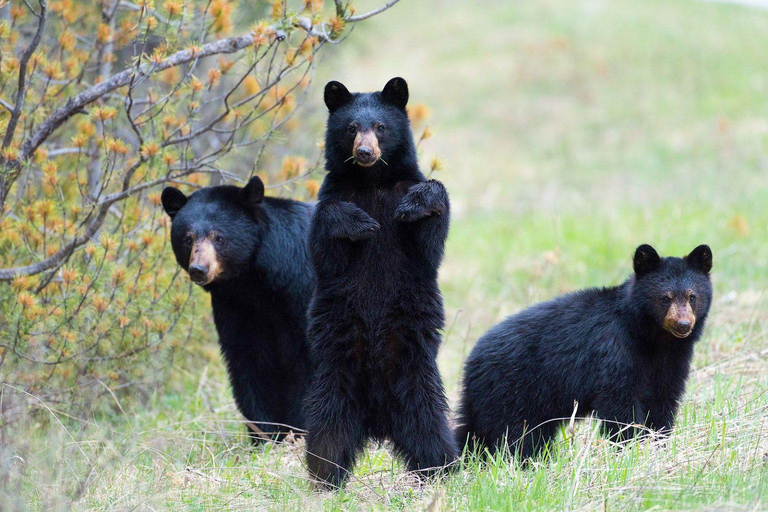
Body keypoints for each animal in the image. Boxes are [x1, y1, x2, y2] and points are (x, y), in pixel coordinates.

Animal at [162, 176, 316, 440]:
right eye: (188, 239)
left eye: (219, 237)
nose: (199, 269)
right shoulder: (236, 308)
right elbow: (250, 362)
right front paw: (265, 434)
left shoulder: (301, 293)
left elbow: (306, 361)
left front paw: (298, 431)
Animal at [304, 77, 460, 488]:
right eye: (351, 128)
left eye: (380, 127)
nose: (364, 151)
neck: (372, 183)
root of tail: (377, 422)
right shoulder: (333, 194)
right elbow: (325, 243)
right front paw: (359, 223)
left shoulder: (407, 195)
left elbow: (430, 237)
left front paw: (416, 205)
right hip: (334, 376)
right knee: (327, 432)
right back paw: (324, 477)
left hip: (417, 374)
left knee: (430, 428)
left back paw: (443, 470)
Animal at [456, 244, 712, 460]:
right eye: (665, 298)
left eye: (692, 296)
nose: (683, 325)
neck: (654, 340)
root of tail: (470, 362)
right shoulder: (614, 351)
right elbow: (620, 403)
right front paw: (632, 448)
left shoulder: (673, 360)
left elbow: (663, 400)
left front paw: (658, 444)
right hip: (513, 392)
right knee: (518, 433)